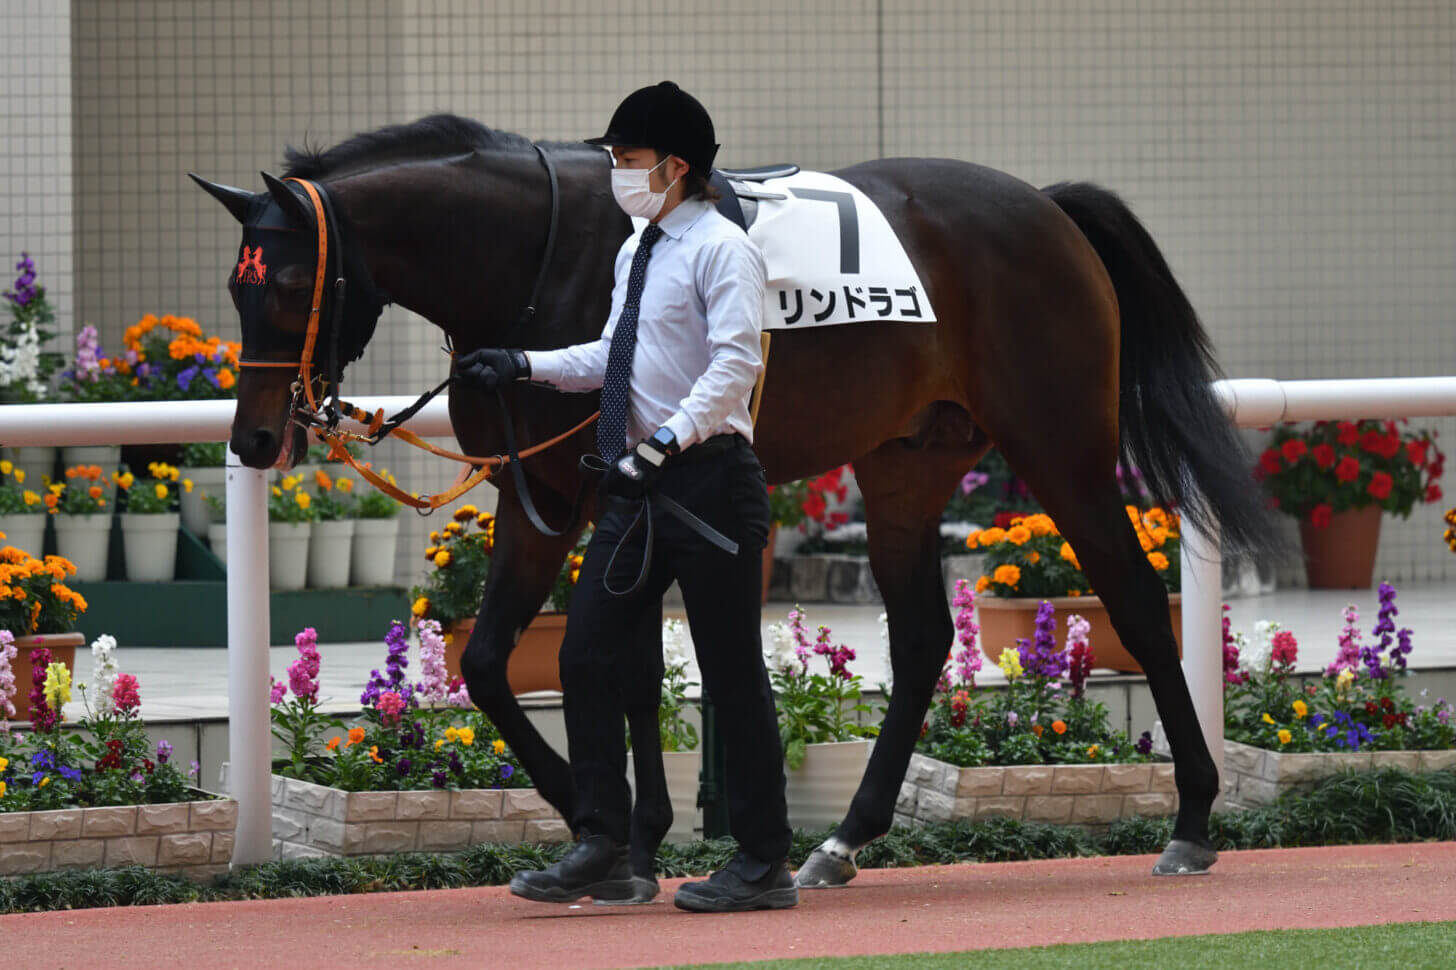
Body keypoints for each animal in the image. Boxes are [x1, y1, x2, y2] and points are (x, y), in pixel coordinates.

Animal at [193, 115, 1275, 885]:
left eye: (285, 284)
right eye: (235, 287)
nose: (255, 439)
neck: (543, 254)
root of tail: (1048, 209)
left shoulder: (600, 488)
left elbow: (581, 663)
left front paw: (608, 822)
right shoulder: (546, 488)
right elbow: (510, 664)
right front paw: (615, 825)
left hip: (1060, 445)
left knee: (1136, 603)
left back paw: (1191, 817)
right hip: (907, 463)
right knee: (925, 635)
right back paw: (843, 840)